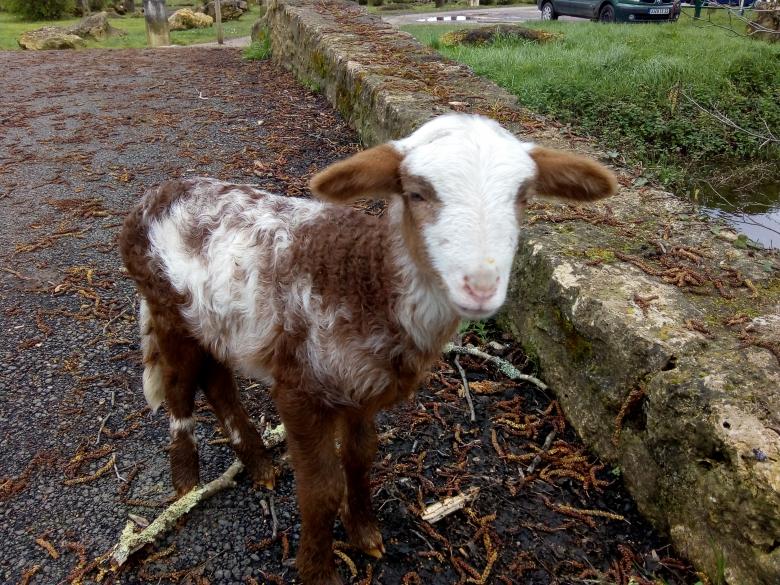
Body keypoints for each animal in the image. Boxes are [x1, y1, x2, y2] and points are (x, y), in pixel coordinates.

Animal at [119, 113, 617, 585]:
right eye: (416, 193)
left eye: (523, 197)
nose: (480, 286)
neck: (367, 280)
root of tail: (154, 196)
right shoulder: (299, 387)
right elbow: (320, 489)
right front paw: (318, 570)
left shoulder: (363, 389)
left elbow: (360, 461)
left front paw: (364, 533)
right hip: (167, 307)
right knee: (180, 387)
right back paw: (186, 481)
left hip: (215, 320)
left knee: (217, 379)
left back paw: (257, 464)